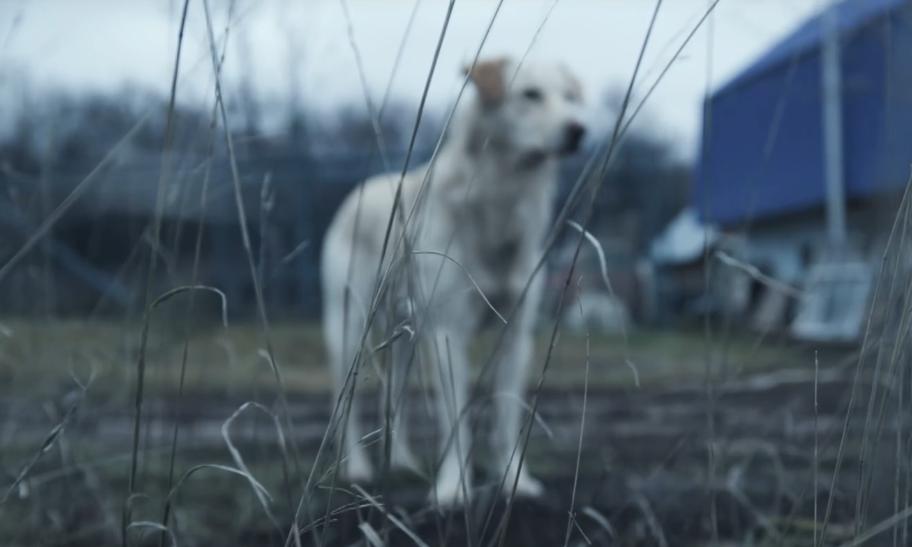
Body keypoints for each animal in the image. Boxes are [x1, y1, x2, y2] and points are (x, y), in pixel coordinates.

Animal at [320, 57, 588, 508]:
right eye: (530, 94)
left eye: (570, 97)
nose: (578, 130)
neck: (500, 201)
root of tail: (359, 191)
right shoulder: (449, 334)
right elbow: (456, 420)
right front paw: (453, 489)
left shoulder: (516, 336)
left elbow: (504, 417)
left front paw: (515, 481)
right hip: (349, 329)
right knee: (348, 404)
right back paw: (356, 467)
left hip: (406, 340)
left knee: (393, 396)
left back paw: (401, 462)